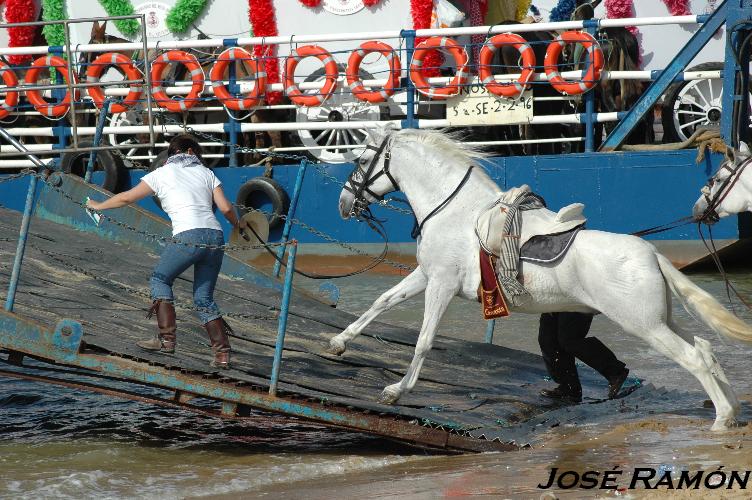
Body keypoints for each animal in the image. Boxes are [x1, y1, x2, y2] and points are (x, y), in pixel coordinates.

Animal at [332, 128, 752, 430]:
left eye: (363, 159)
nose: (343, 202)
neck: (455, 211)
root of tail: (652, 254)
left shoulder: (442, 285)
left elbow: (423, 341)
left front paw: (396, 391)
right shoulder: (426, 274)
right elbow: (382, 301)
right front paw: (339, 342)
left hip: (645, 327)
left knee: (694, 358)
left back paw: (721, 419)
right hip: (662, 321)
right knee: (706, 350)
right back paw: (731, 408)